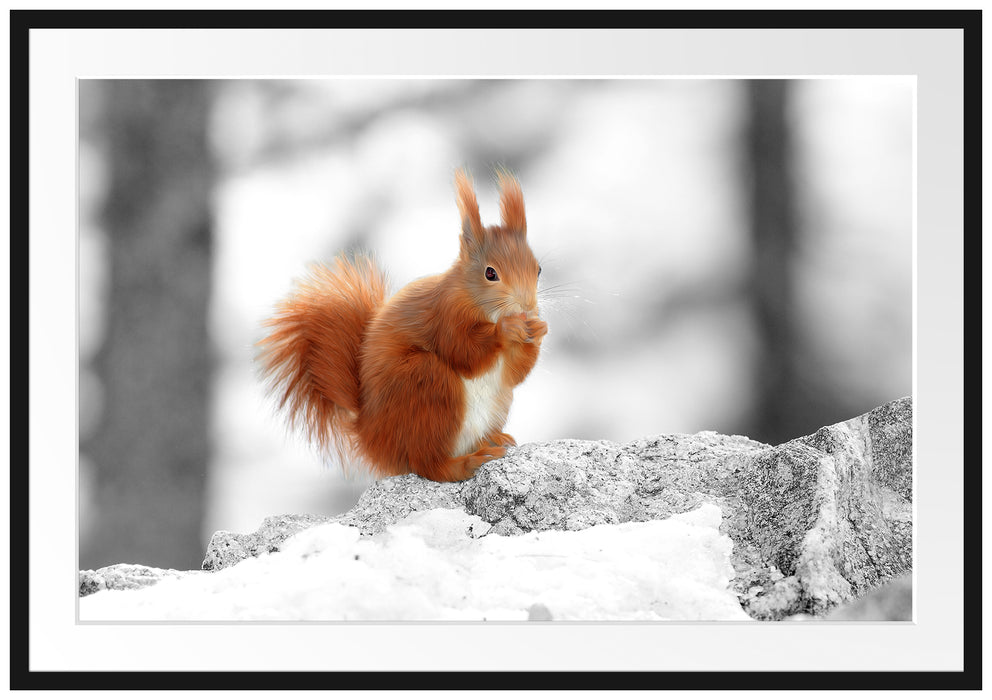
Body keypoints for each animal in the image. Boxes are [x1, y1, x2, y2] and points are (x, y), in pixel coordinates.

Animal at [256, 168, 547, 482]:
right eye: (490, 273)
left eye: (538, 269)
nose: (528, 306)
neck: (480, 305)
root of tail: (371, 437)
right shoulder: (445, 316)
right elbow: (464, 353)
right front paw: (506, 330)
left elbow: (514, 374)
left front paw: (539, 330)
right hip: (425, 385)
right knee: (429, 464)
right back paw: (467, 462)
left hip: (495, 402)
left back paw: (493, 439)